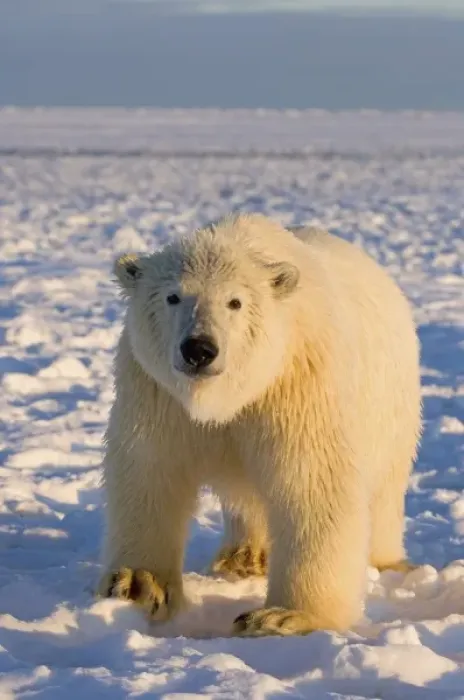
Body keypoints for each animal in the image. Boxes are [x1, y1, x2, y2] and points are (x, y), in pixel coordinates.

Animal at [98, 213, 422, 637]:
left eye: (235, 302)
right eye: (173, 297)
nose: (199, 349)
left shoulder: (297, 382)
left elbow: (311, 480)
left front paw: (282, 616)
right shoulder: (157, 392)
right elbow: (152, 469)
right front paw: (138, 583)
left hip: (392, 406)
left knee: (384, 489)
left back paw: (390, 563)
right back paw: (245, 556)